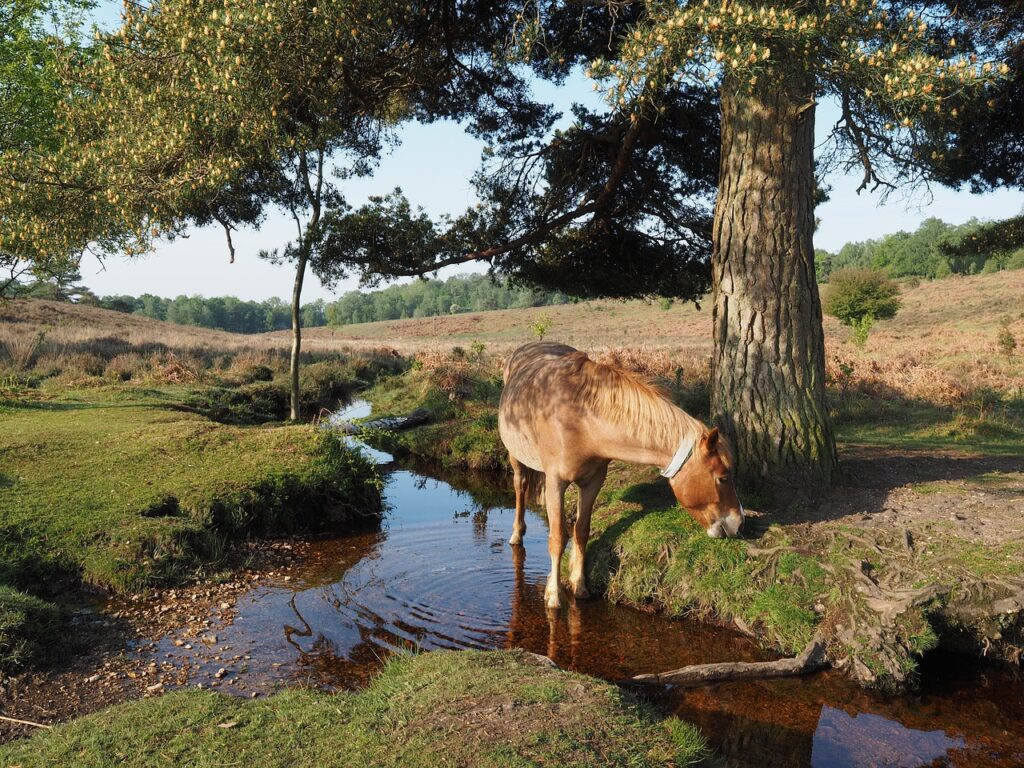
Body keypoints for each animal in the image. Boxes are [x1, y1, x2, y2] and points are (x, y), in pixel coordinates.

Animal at [497, 346, 745, 610]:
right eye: (723, 478)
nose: (739, 523)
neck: (581, 418)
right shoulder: (556, 483)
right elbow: (557, 538)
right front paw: (554, 596)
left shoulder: (593, 482)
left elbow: (581, 531)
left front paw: (579, 585)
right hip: (516, 458)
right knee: (520, 486)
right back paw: (516, 534)